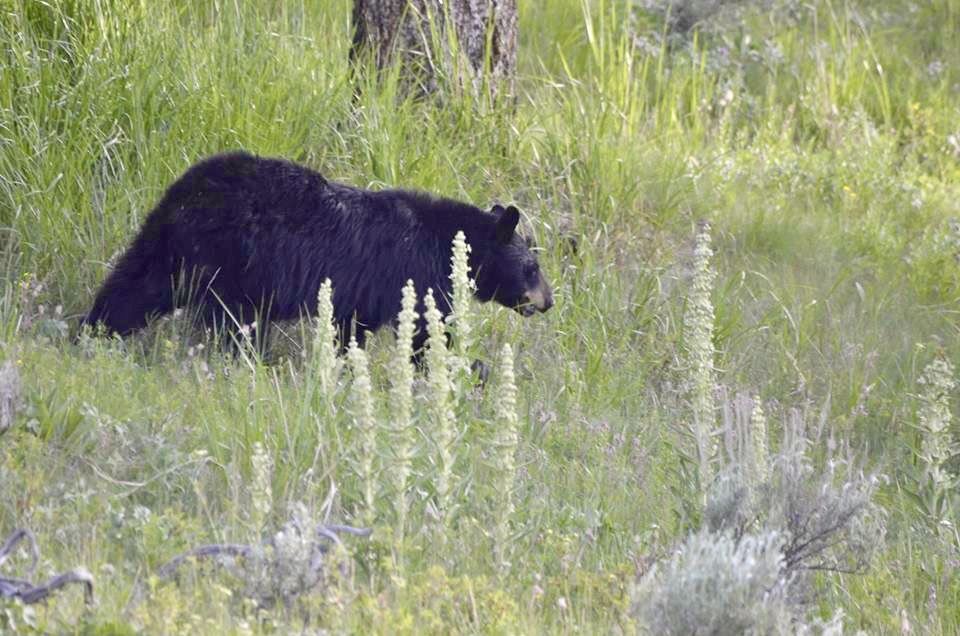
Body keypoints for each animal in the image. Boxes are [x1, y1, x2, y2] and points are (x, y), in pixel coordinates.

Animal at [82, 151, 553, 354]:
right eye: (533, 267)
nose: (548, 301)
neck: (446, 244)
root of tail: (187, 192)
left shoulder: (359, 298)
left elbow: (351, 331)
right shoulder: (416, 277)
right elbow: (426, 330)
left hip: (171, 246)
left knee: (135, 284)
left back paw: (93, 333)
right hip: (232, 263)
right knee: (232, 321)